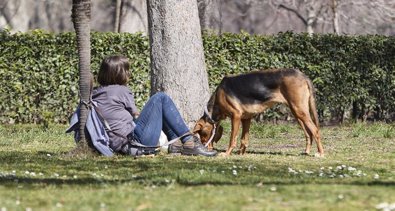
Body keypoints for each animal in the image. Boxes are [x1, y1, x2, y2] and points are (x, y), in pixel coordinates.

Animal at [193, 69, 324, 157]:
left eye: (203, 133)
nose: (205, 147)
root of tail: (303, 75)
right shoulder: (246, 119)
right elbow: (244, 139)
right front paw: (241, 153)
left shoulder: (236, 116)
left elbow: (232, 139)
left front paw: (227, 153)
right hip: (297, 112)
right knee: (308, 133)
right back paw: (306, 151)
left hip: (299, 110)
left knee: (315, 130)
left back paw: (320, 153)